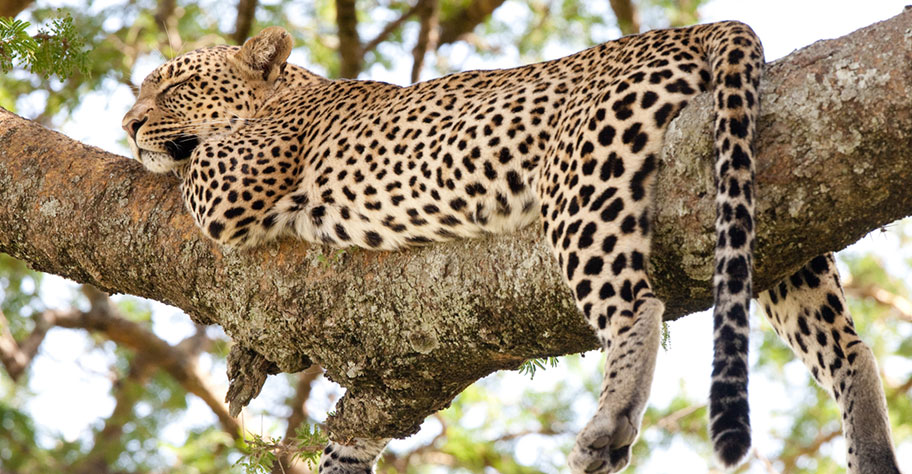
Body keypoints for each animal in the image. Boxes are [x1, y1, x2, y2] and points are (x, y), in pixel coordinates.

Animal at [119, 23, 896, 474]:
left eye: (179, 85)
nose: (126, 121)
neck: (292, 92)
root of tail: (710, 22)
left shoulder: (229, 183)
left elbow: (189, 163)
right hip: (775, 201)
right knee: (847, 347)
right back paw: (876, 453)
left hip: (586, 177)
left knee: (636, 305)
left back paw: (609, 423)